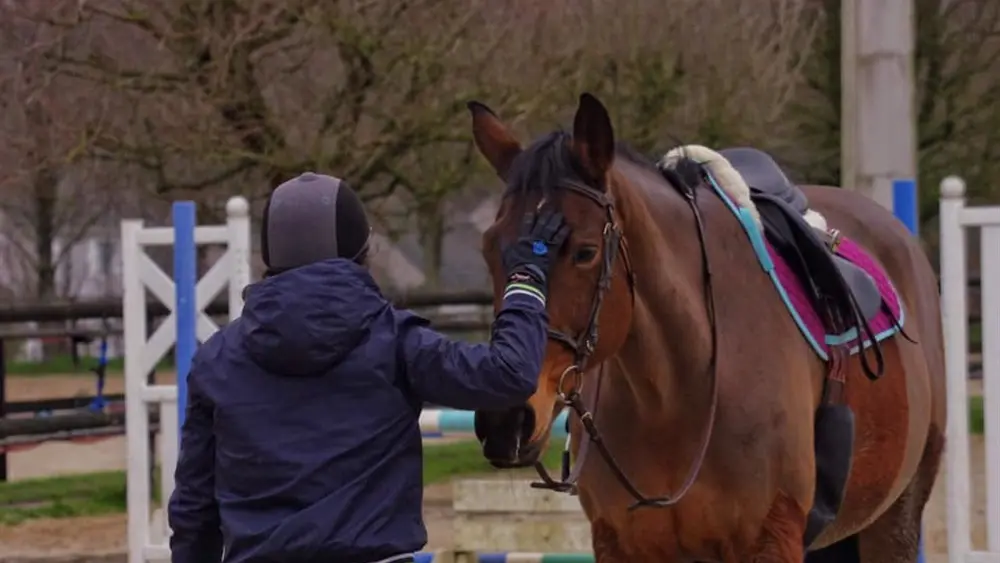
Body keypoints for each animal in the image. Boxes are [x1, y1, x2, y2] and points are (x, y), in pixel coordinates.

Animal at [468, 93, 944, 563]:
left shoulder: (771, 541)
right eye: (489, 248)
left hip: (894, 519)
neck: (674, 397)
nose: (505, 419)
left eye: (585, 252)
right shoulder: (620, 544)